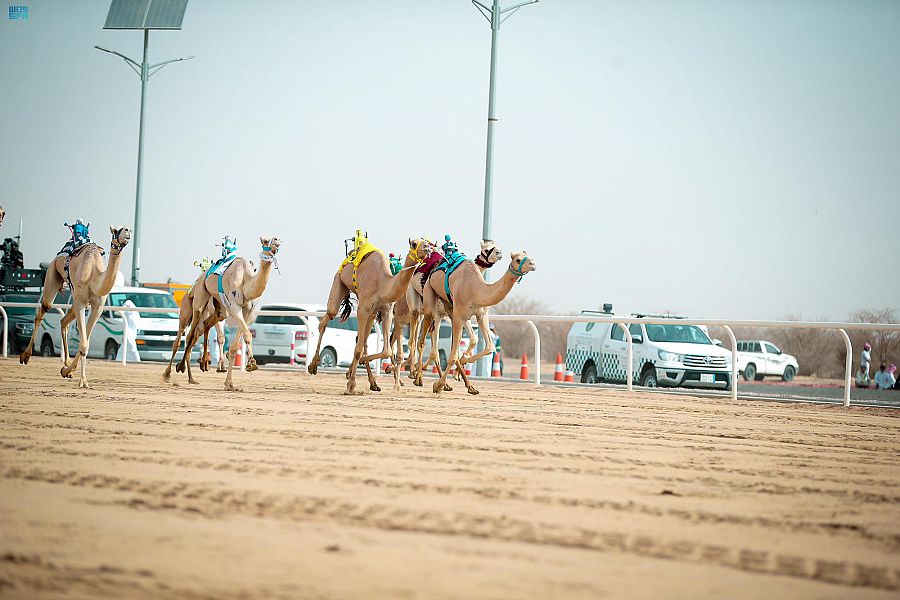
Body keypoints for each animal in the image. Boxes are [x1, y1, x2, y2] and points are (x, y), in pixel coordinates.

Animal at [19, 226, 132, 390]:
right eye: (116, 230)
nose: (127, 231)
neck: (94, 274)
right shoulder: (81, 302)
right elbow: (84, 343)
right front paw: (83, 381)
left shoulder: (97, 307)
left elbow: (86, 341)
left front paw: (67, 371)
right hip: (53, 274)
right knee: (42, 312)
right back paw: (25, 356)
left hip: (73, 299)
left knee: (63, 321)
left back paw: (66, 364)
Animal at [163, 237, 280, 392]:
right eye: (266, 241)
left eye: (277, 239)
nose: (276, 242)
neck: (245, 280)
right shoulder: (234, 306)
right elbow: (246, 335)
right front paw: (251, 363)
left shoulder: (247, 312)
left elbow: (235, 345)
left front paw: (230, 383)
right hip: (195, 304)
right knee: (184, 337)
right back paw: (169, 373)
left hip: (218, 311)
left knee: (198, 330)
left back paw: (195, 373)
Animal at [308, 237, 434, 396]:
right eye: (414, 244)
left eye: (427, 242)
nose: (428, 248)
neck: (383, 283)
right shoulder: (363, 309)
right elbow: (359, 349)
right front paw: (350, 385)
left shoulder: (387, 311)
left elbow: (386, 350)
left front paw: (359, 368)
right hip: (340, 282)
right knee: (326, 319)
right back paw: (313, 366)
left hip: (373, 313)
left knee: (364, 340)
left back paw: (373, 383)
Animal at [416, 250, 536, 394]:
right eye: (517, 260)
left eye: (529, 256)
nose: (533, 264)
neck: (476, 290)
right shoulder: (459, 316)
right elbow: (452, 357)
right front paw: (438, 385)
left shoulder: (481, 315)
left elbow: (488, 346)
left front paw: (463, 361)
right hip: (430, 294)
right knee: (423, 340)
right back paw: (418, 378)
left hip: (448, 306)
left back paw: (468, 385)